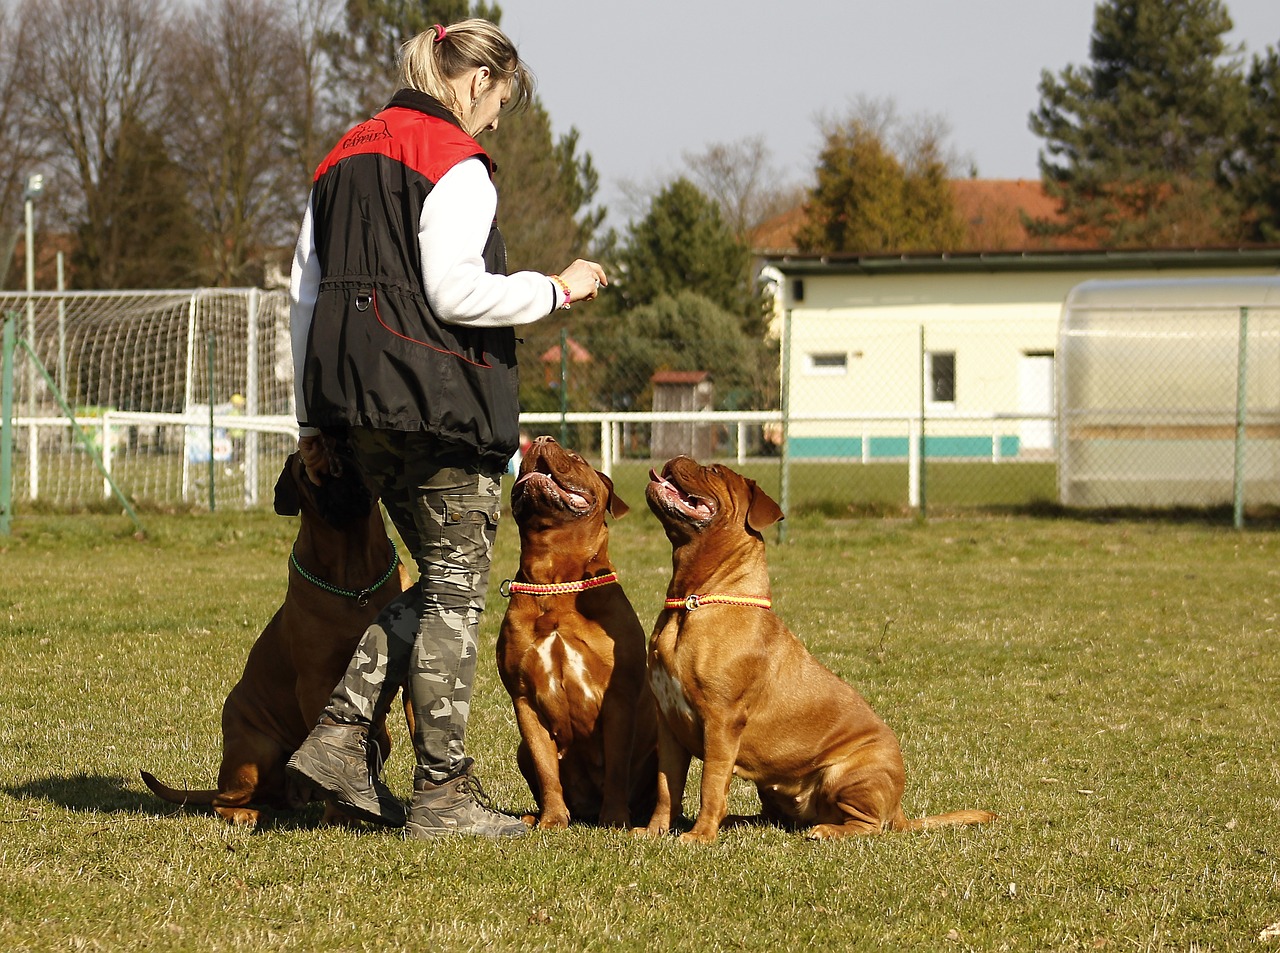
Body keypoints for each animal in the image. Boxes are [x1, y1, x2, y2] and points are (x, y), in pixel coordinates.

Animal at [141, 442, 409, 823]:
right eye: (307, 475)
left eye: (350, 452)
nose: (338, 480)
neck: (356, 585)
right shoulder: (315, 683)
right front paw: (338, 814)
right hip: (260, 749)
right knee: (221, 800)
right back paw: (246, 813)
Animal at [496, 437, 660, 823]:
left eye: (576, 458)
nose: (542, 440)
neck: (556, 580)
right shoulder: (523, 699)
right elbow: (546, 769)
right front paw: (553, 819)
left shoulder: (618, 699)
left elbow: (616, 766)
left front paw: (615, 819)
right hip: (520, 749)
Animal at [645, 457, 993, 844]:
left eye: (716, 471)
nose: (677, 458)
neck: (692, 601)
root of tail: (900, 809)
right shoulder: (668, 723)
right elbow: (666, 787)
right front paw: (654, 831)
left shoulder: (722, 721)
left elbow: (711, 784)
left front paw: (700, 835)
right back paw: (741, 820)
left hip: (848, 772)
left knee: (868, 826)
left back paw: (826, 829)